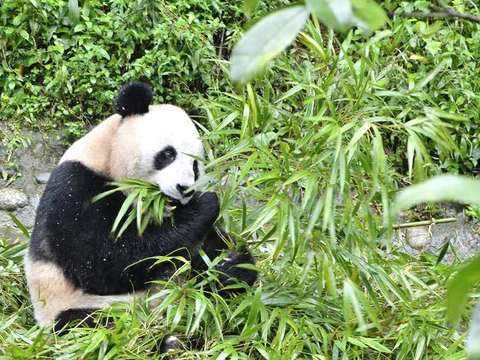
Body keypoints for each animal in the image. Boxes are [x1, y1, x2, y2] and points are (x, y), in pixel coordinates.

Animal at [25, 81, 258, 332]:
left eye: (195, 166)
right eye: (168, 154)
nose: (184, 188)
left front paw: (228, 259)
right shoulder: (75, 189)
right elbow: (106, 262)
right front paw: (206, 204)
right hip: (75, 306)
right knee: (95, 322)